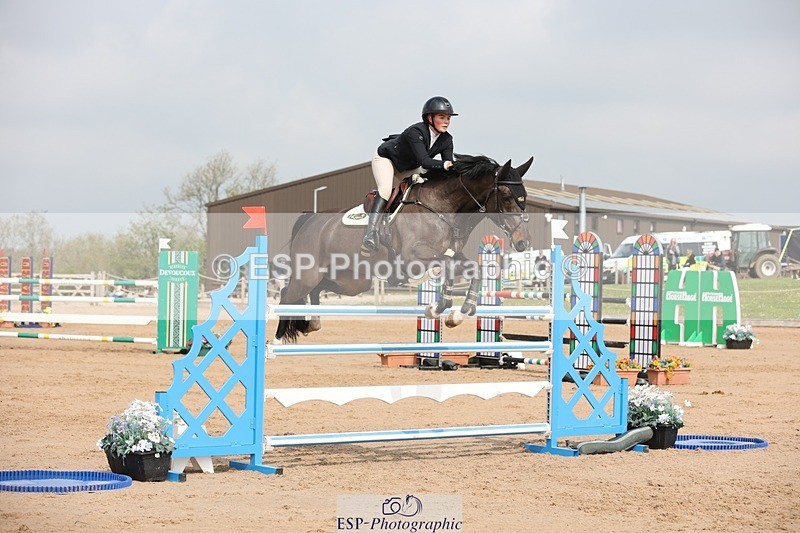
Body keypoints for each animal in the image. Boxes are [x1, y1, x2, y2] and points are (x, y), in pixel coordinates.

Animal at [274, 154, 534, 342]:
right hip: (309, 274)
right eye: (507, 196)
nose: (523, 242)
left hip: (349, 281)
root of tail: (309, 221)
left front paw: (457, 314)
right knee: (287, 294)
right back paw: (275, 343)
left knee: (316, 290)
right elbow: (448, 266)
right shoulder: (414, 258)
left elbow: (472, 270)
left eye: (524, 197)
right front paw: (439, 307)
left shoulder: (455, 254)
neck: (442, 207)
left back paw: (312, 323)